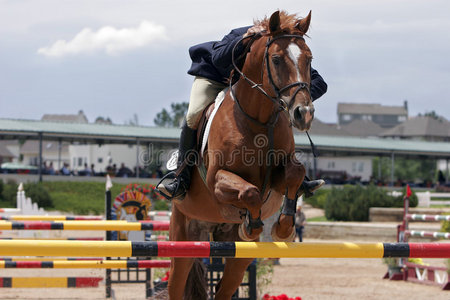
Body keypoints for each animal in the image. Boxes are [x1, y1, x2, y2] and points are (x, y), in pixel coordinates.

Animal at [167, 10, 314, 298]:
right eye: (276, 59)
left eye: (309, 58)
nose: (304, 114)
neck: (259, 120)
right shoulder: (217, 181)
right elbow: (249, 192)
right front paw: (252, 224)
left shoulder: (278, 177)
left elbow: (295, 173)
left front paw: (283, 228)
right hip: (183, 239)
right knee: (176, 286)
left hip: (237, 255)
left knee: (224, 289)